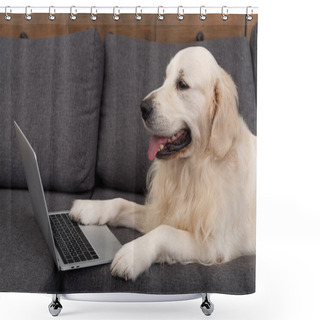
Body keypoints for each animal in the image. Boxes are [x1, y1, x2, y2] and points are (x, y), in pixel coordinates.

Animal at [69, 47, 256, 280]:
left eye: (182, 84)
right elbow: (122, 203)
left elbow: (165, 231)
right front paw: (90, 208)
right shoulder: (160, 212)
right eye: (165, 78)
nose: (142, 107)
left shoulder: (215, 243)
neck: (193, 169)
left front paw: (132, 254)